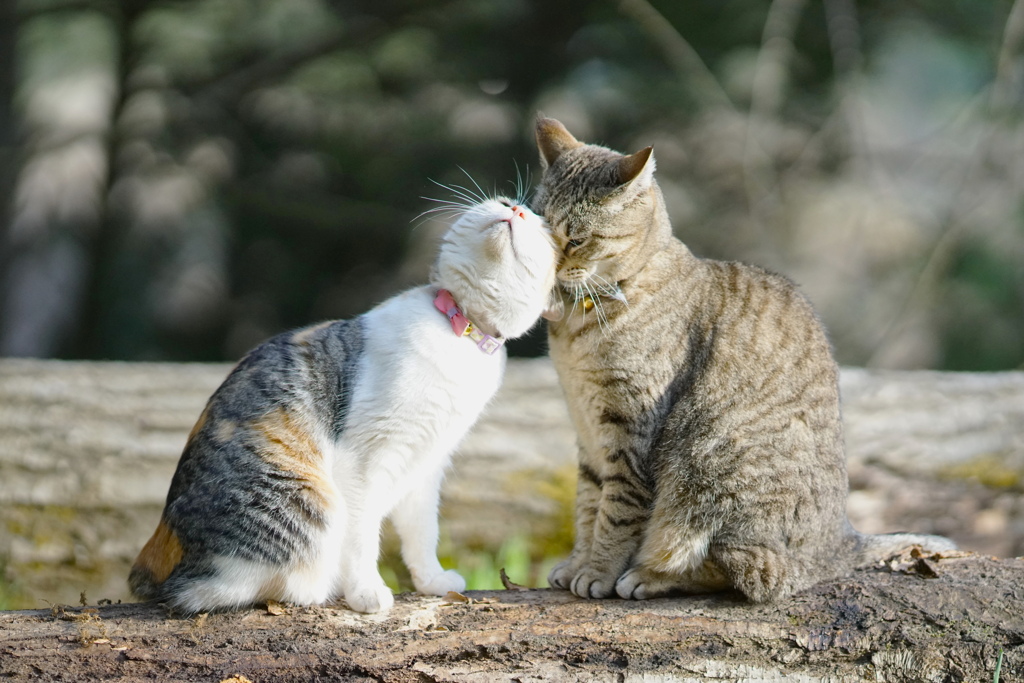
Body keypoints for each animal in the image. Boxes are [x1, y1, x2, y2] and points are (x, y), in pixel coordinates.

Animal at [130, 193, 561, 614]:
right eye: (503, 202)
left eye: (540, 227)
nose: (516, 209)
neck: (462, 329)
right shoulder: (365, 460)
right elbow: (362, 536)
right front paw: (366, 591)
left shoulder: (426, 465)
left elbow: (423, 533)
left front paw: (432, 582)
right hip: (311, 499)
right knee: (220, 590)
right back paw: (316, 586)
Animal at [532, 117, 954, 602]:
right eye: (539, 229)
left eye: (576, 239)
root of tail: (841, 543)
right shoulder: (587, 434)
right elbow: (587, 504)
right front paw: (577, 563)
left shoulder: (629, 430)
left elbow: (616, 512)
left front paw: (598, 571)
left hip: (706, 466)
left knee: (745, 571)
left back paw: (648, 576)